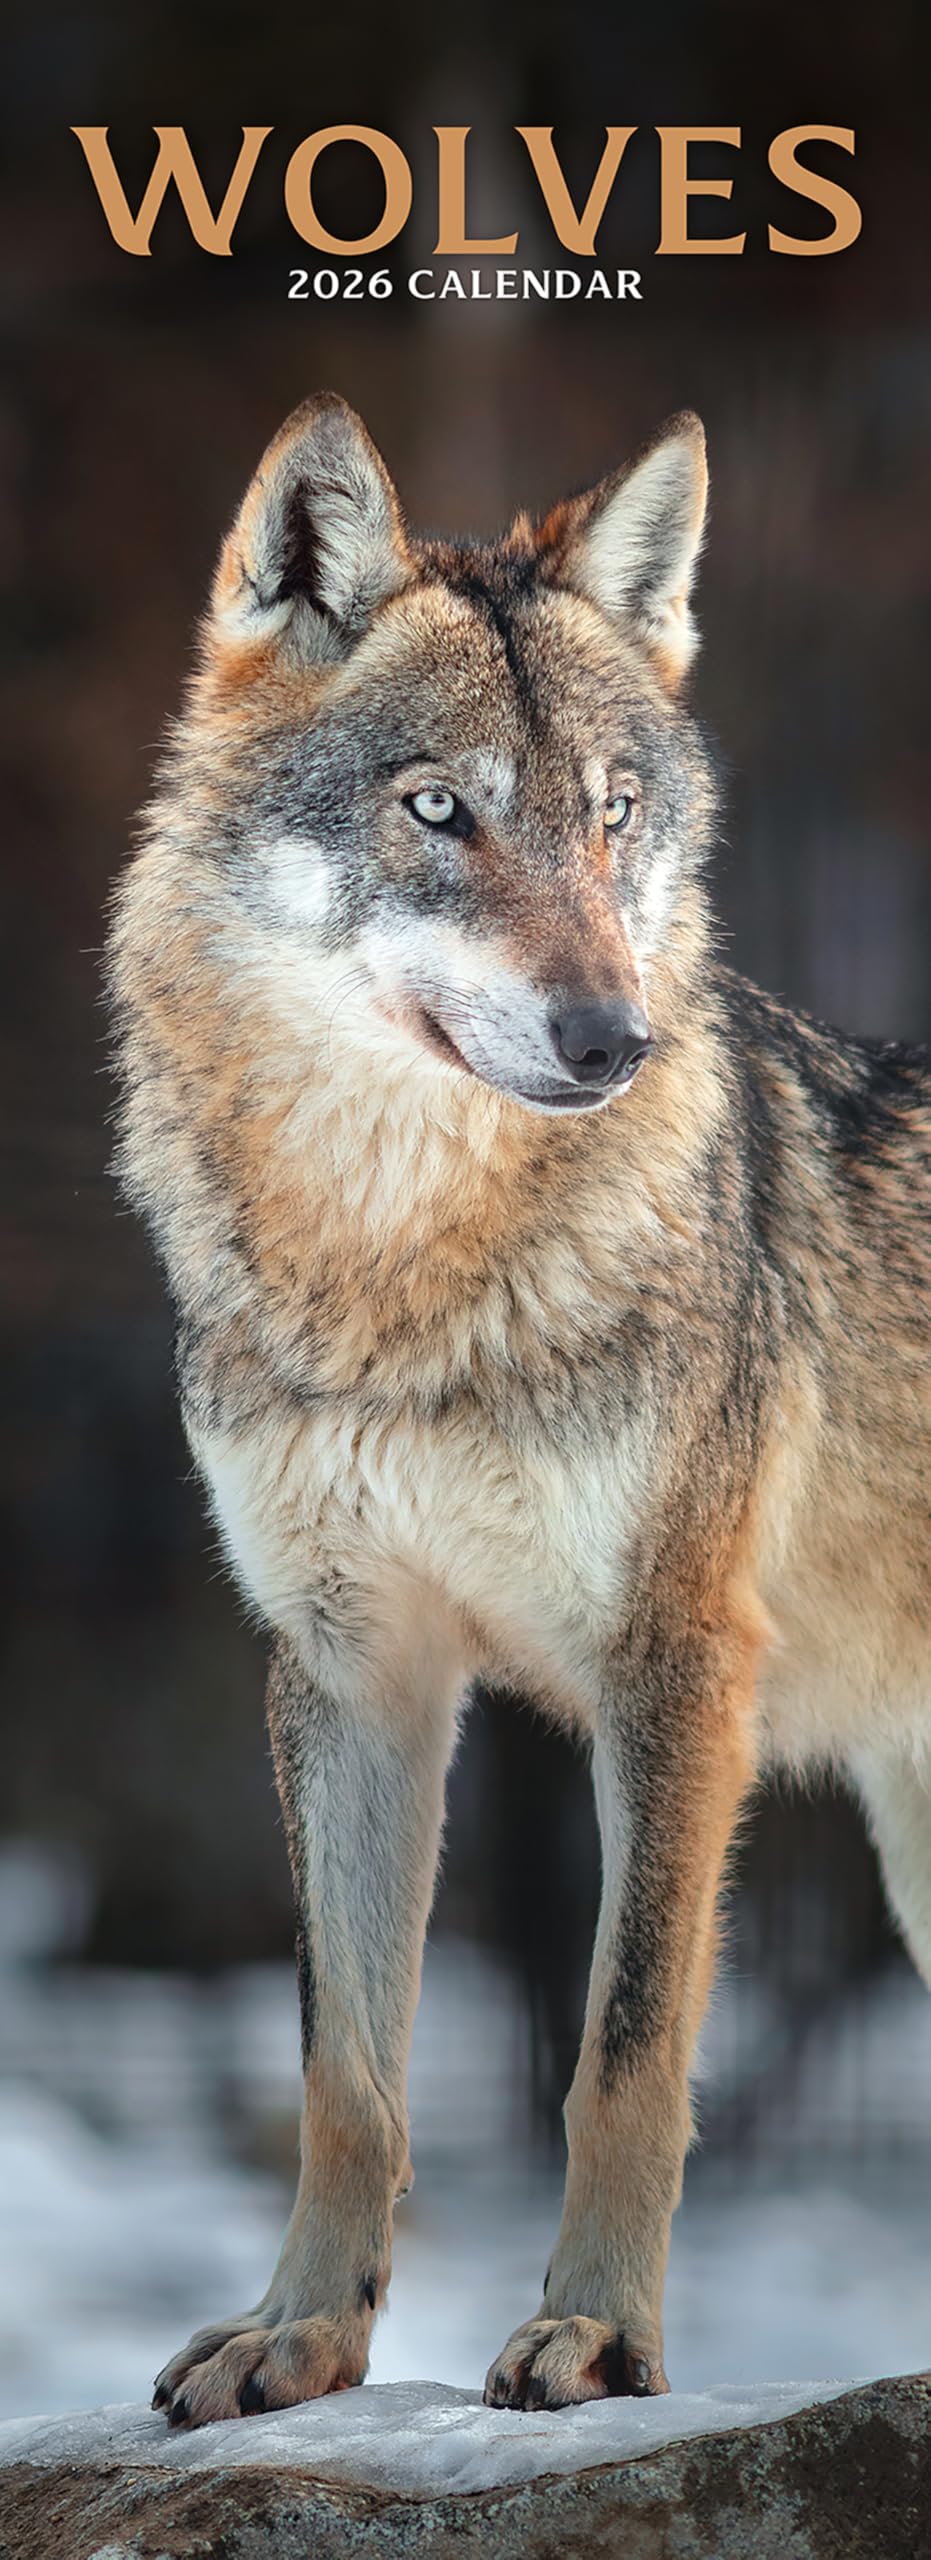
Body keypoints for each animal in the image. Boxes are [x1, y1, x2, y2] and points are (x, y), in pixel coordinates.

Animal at [107, 393, 930, 2426]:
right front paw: (299, 2338)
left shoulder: (675, 1664)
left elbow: (621, 2056)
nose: (610, 1039)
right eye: (439, 809)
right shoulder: (350, 1668)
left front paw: (601, 2340)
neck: (401, 1275)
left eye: (611, 812)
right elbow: (345, 2070)